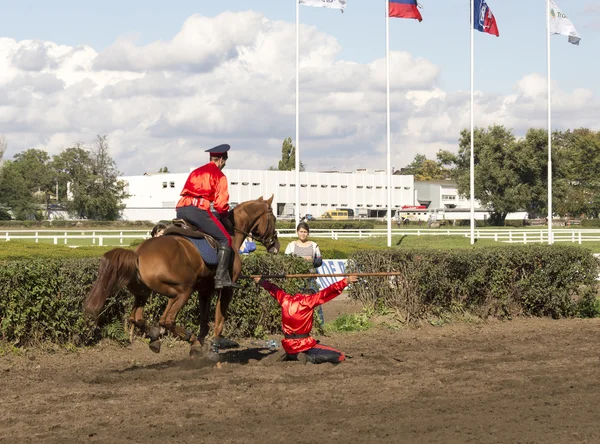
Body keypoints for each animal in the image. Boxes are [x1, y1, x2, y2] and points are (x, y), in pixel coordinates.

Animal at [83, 196, 280, 360]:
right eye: (274, 219)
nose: (275, 245)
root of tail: (137, 254)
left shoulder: (205, 290)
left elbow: (204, 320)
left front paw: (201, 344)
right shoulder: (227, 288)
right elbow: (219, 319)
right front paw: (214, 346)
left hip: (144, 293)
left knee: (137, 318)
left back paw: (156, 337)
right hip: (183, 290)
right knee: (166, 319)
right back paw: (184, 338)